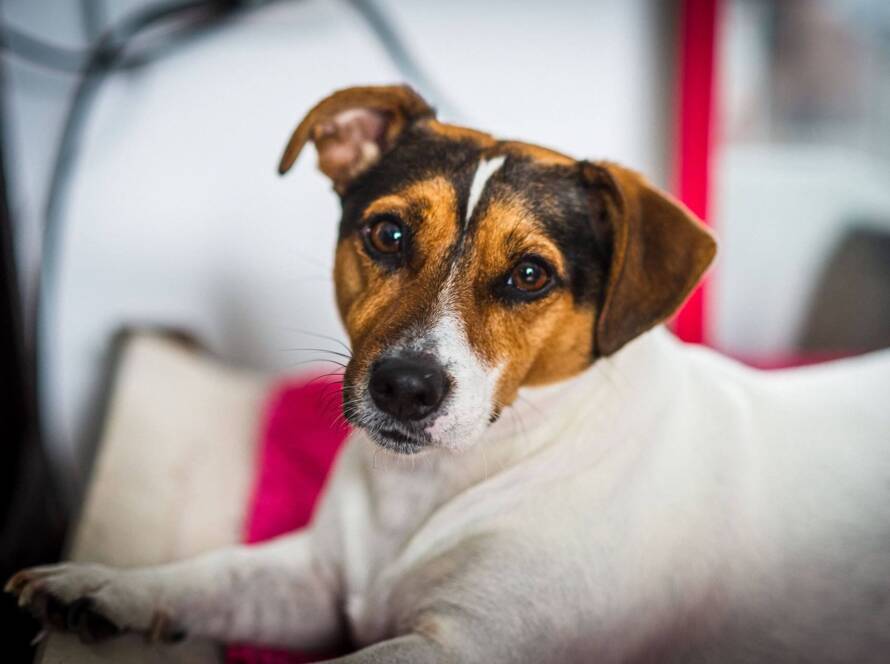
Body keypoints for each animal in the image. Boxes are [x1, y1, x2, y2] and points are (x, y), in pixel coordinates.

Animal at [8, 85, 890, 663]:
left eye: (531, 275)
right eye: (388, 234)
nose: (405, 387)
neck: (433, 483)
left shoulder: (464, 645)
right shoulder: (316, 581)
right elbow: (216, 571)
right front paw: (106, 587)